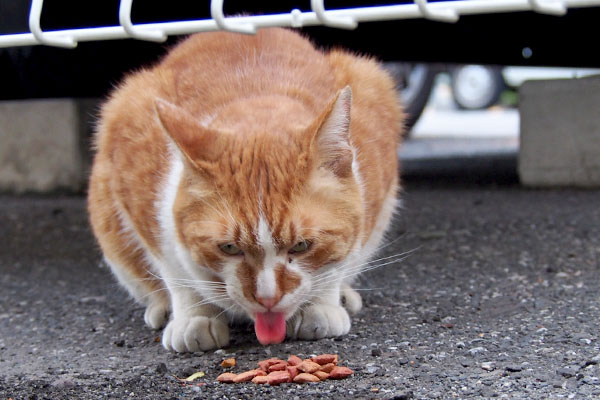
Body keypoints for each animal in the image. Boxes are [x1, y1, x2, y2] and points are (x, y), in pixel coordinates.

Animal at [86, 27, 406, 350]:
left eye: (302, 246)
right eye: (229, 248)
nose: (268, 298)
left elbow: (339, 261)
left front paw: (322, 306)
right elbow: (174, 270)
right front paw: (194, 317)